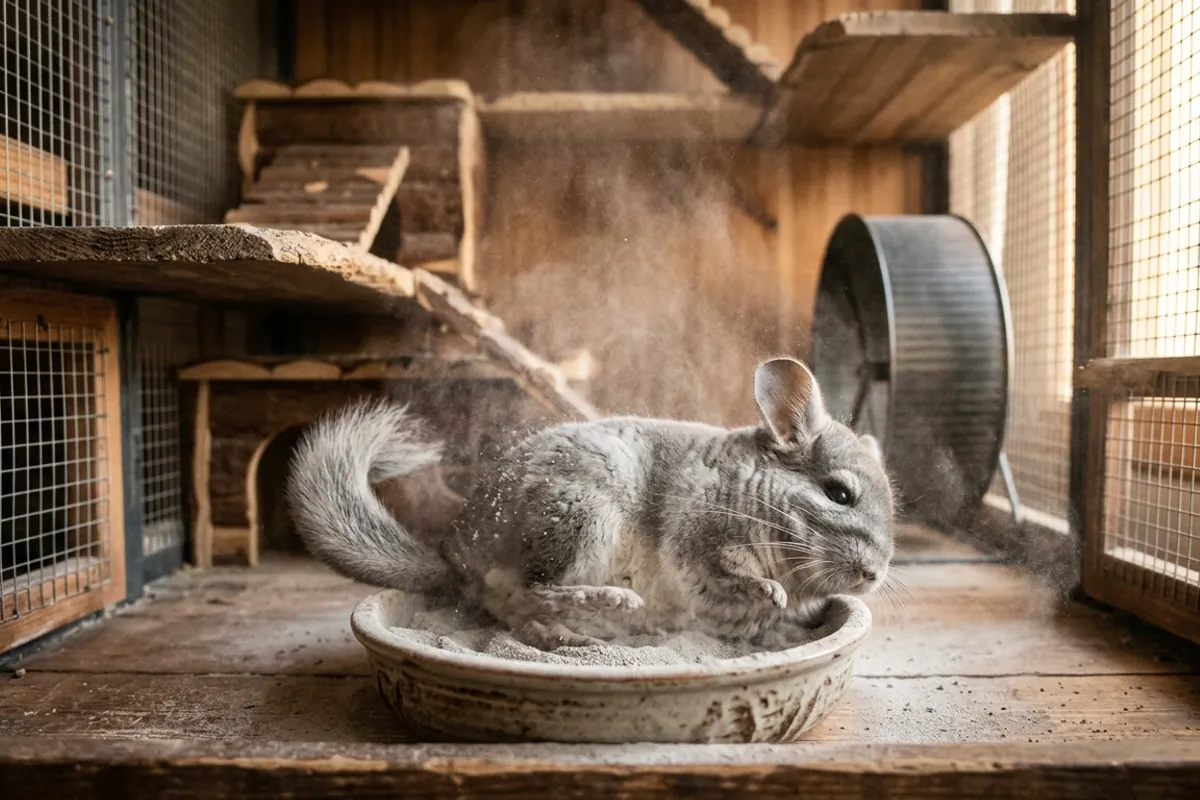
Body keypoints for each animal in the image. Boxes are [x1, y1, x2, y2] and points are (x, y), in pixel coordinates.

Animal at [287, 357, 895, 651]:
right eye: (840, 494)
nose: (874, 575)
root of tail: (456, 556)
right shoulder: (701, 534)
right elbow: (733, 574)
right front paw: (768, 590)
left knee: (525, 617)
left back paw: (573, 637)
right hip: (584, 516)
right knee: (539, 587)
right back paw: (614, 602)